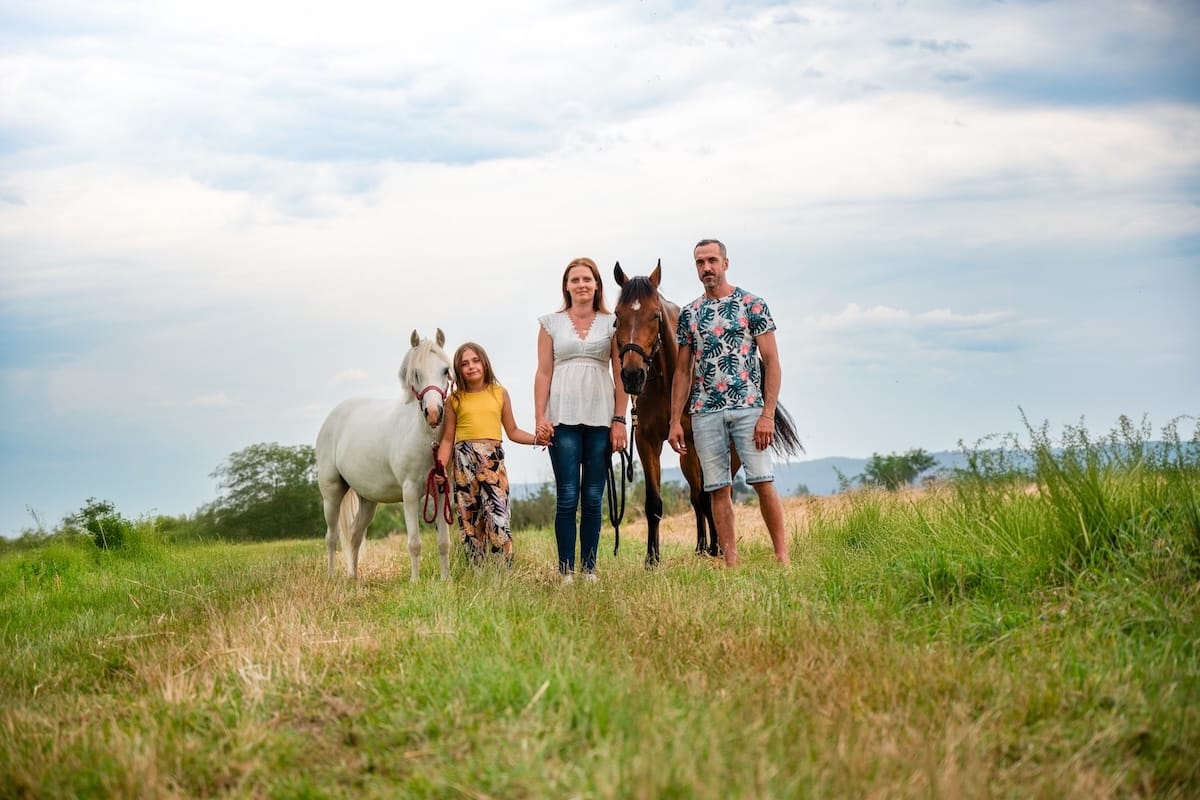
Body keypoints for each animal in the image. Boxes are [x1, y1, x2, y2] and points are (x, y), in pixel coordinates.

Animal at [316, 329, 454, 581]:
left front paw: (445, 580)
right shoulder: (410, 492)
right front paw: (415, 581)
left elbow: (443, 542)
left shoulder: (441, 490)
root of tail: (333, 416)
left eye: (445, 370)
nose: (433, 413)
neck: (422, 435)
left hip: (367, 500)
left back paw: (354, 578)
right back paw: (331, 577)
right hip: (331, 494)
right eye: (416, 374)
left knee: (354, 536)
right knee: (331, 537)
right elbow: (414, 543)